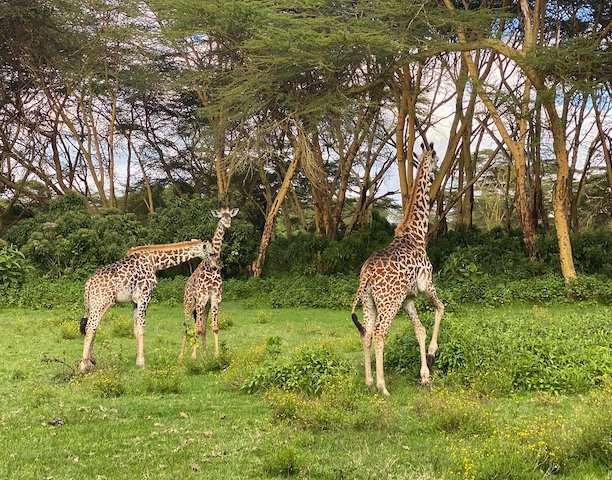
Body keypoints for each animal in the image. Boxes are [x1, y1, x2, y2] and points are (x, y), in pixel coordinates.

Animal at [79, 238, 215, 374]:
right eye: (212, 253)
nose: (215, 267)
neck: (154, 261)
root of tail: (88, 283)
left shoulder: (134, 302)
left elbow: (135, 329)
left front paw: (137, 361)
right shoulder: (144, 297)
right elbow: (141, 329)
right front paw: (141, 363)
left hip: (93, 305)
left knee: (91, 328)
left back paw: (90, 362)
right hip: (100, 303)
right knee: (90, 328)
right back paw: (84, 366)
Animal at [178, 206, 238, 360]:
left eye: (230, 216)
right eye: (221, 217)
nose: (227, 223)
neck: (212, 266)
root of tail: (186, 285)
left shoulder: (215, 298)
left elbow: (214, 327)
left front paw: (215, 355)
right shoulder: (201, 298)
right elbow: (198, 328)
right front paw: (194, 356)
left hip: (204, 307)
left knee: (201, 326)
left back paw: (204, 352)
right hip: (189, 304)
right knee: (188, 326)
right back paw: (182, 355)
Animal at [350, 142, 444, 394]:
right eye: (436, 158)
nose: (437, 171)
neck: (417, 234)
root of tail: (366, 275)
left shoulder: (408, 299)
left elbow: (419, 330)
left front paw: (425, 374)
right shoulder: (426, 285)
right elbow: (441, 308)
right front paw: (432, 353)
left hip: (369, 302)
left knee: (367, 333)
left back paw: (369, 381)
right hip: (388, 302)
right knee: (380, 333)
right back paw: (382, 386)